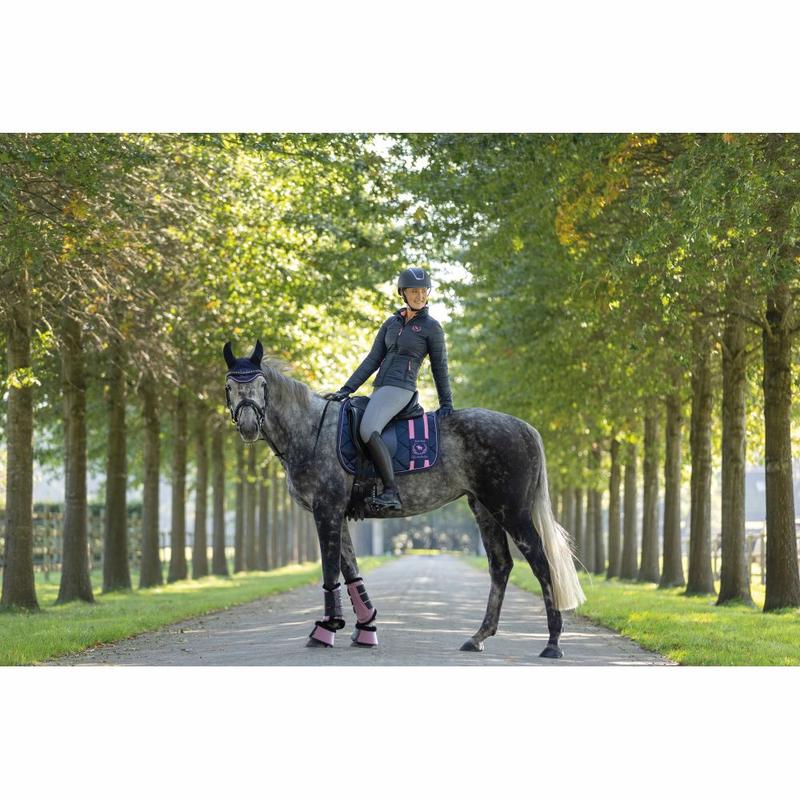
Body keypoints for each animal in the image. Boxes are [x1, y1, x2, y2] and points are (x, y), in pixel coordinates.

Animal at [223, 340, 585, 657]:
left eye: (261, 385)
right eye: (229, 387)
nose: (249, 425)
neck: (312, 430)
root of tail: (523, 427)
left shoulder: (326, 511)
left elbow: (330, 571)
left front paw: (327, 629)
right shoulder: (336, 513)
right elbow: (350, 569)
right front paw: (366, 629)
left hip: (511, 509)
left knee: (540, 562)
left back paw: (552, 643)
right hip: (484, 508)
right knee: (501, 566)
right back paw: (478, 637)